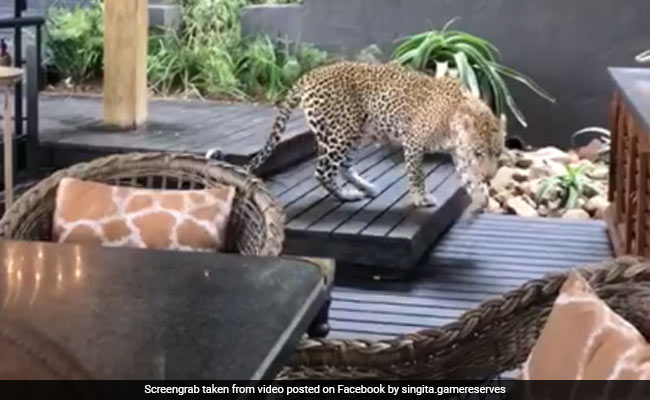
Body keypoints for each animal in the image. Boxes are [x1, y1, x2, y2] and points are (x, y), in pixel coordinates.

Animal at [214, 61, 506, 211]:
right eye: (480, 152)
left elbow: (467, 176)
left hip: (355, 132)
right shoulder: (413, 142)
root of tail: (311, 74)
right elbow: (417, 174)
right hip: (340, 133)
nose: (490, 176)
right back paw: (347, 195)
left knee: (342, 166)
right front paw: (420, 198)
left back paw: (364, 187)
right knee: (322, 171)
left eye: (497, 153)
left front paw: (480, 194)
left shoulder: (459, 153)